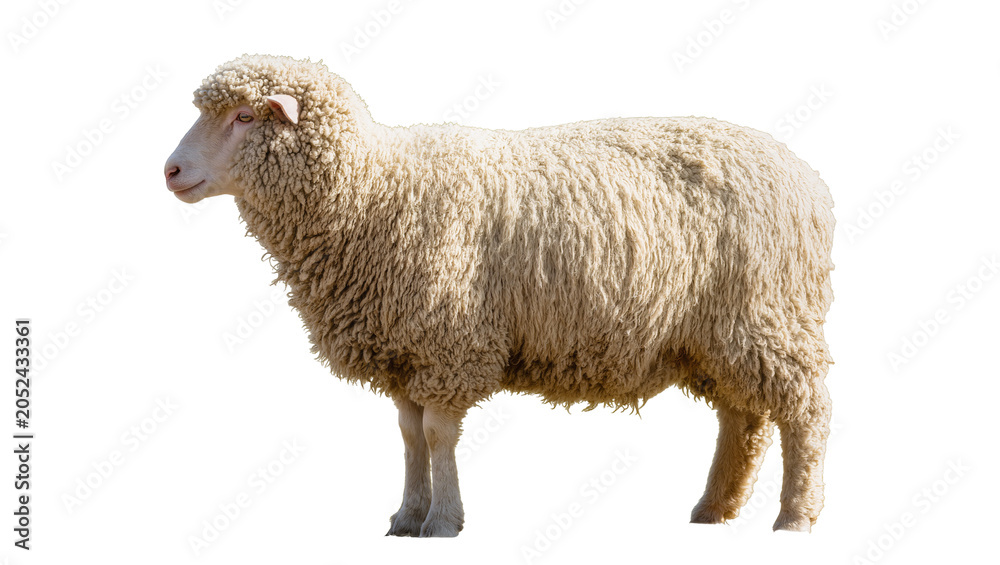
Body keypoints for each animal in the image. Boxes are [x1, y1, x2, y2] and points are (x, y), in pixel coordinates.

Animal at [164, 54, 835, 537]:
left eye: (244, 117)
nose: (169, 171)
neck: (372, 190)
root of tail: (806, 178)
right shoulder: (405, 350)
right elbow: (409, 437)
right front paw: (406, 518)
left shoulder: (448, 343)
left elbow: (438, 435)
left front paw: (443, 522)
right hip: (719, 333)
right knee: (743, 418)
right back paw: (714, 510)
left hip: (767, 316)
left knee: (805, 413)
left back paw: (794, 518)